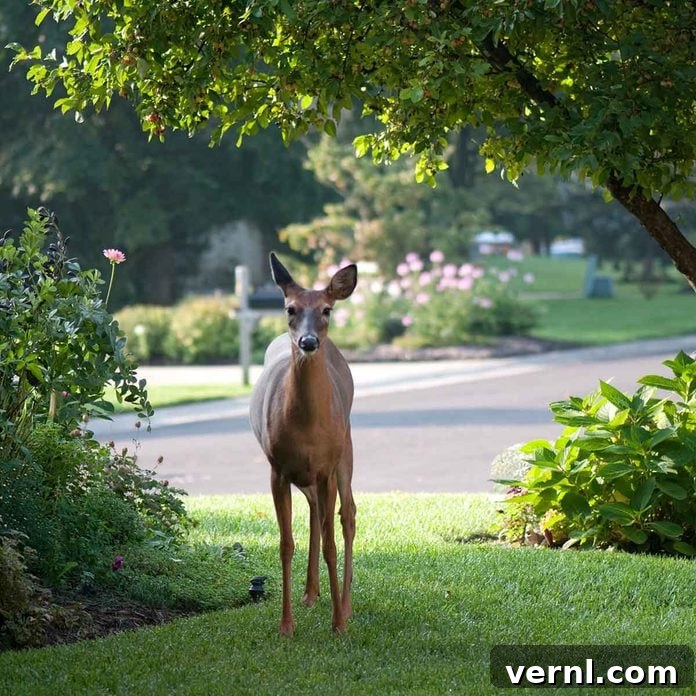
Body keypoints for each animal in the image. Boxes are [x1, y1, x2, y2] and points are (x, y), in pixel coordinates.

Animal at [250, 253, 357, 636]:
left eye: (327, 310)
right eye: (290, 308)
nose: (308, 342)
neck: (308, 427)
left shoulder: (327, 464)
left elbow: (330, 544)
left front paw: (338, 624)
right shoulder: (277, 469)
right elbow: (285, 545)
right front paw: (286, 625)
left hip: (346, 449)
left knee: (347, 514)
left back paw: (345, 604)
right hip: (306, 473)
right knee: (314, 510)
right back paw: (311, 592)